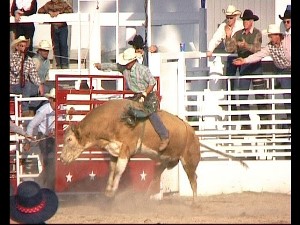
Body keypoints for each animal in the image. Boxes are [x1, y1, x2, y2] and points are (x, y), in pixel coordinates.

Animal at [59, 98, 247, 200]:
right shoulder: (113, 151)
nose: (61, 159)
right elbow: (113, 170)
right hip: (163, 161)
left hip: (189, 161)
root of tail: (192, 132)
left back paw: (194, 203)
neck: (114, 120)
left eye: (69, 139)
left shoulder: (126, 148)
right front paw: (107, 191)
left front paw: (112, 192)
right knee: (156, 177)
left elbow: (119, 170)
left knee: (193, 180)